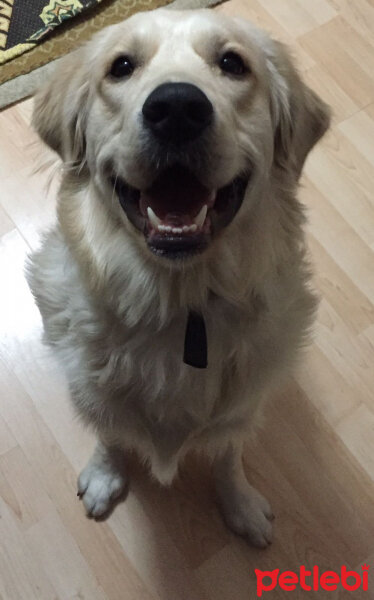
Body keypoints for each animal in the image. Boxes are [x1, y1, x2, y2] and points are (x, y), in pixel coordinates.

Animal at [27, 8, 330, 548]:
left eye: (232, 63)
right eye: (121, 66)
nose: (176, 109)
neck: (179, 300)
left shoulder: (242, 406)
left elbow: (228, 455)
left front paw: (240, 503)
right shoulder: (94, 391)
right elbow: (110, 433)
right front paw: (105, 475)